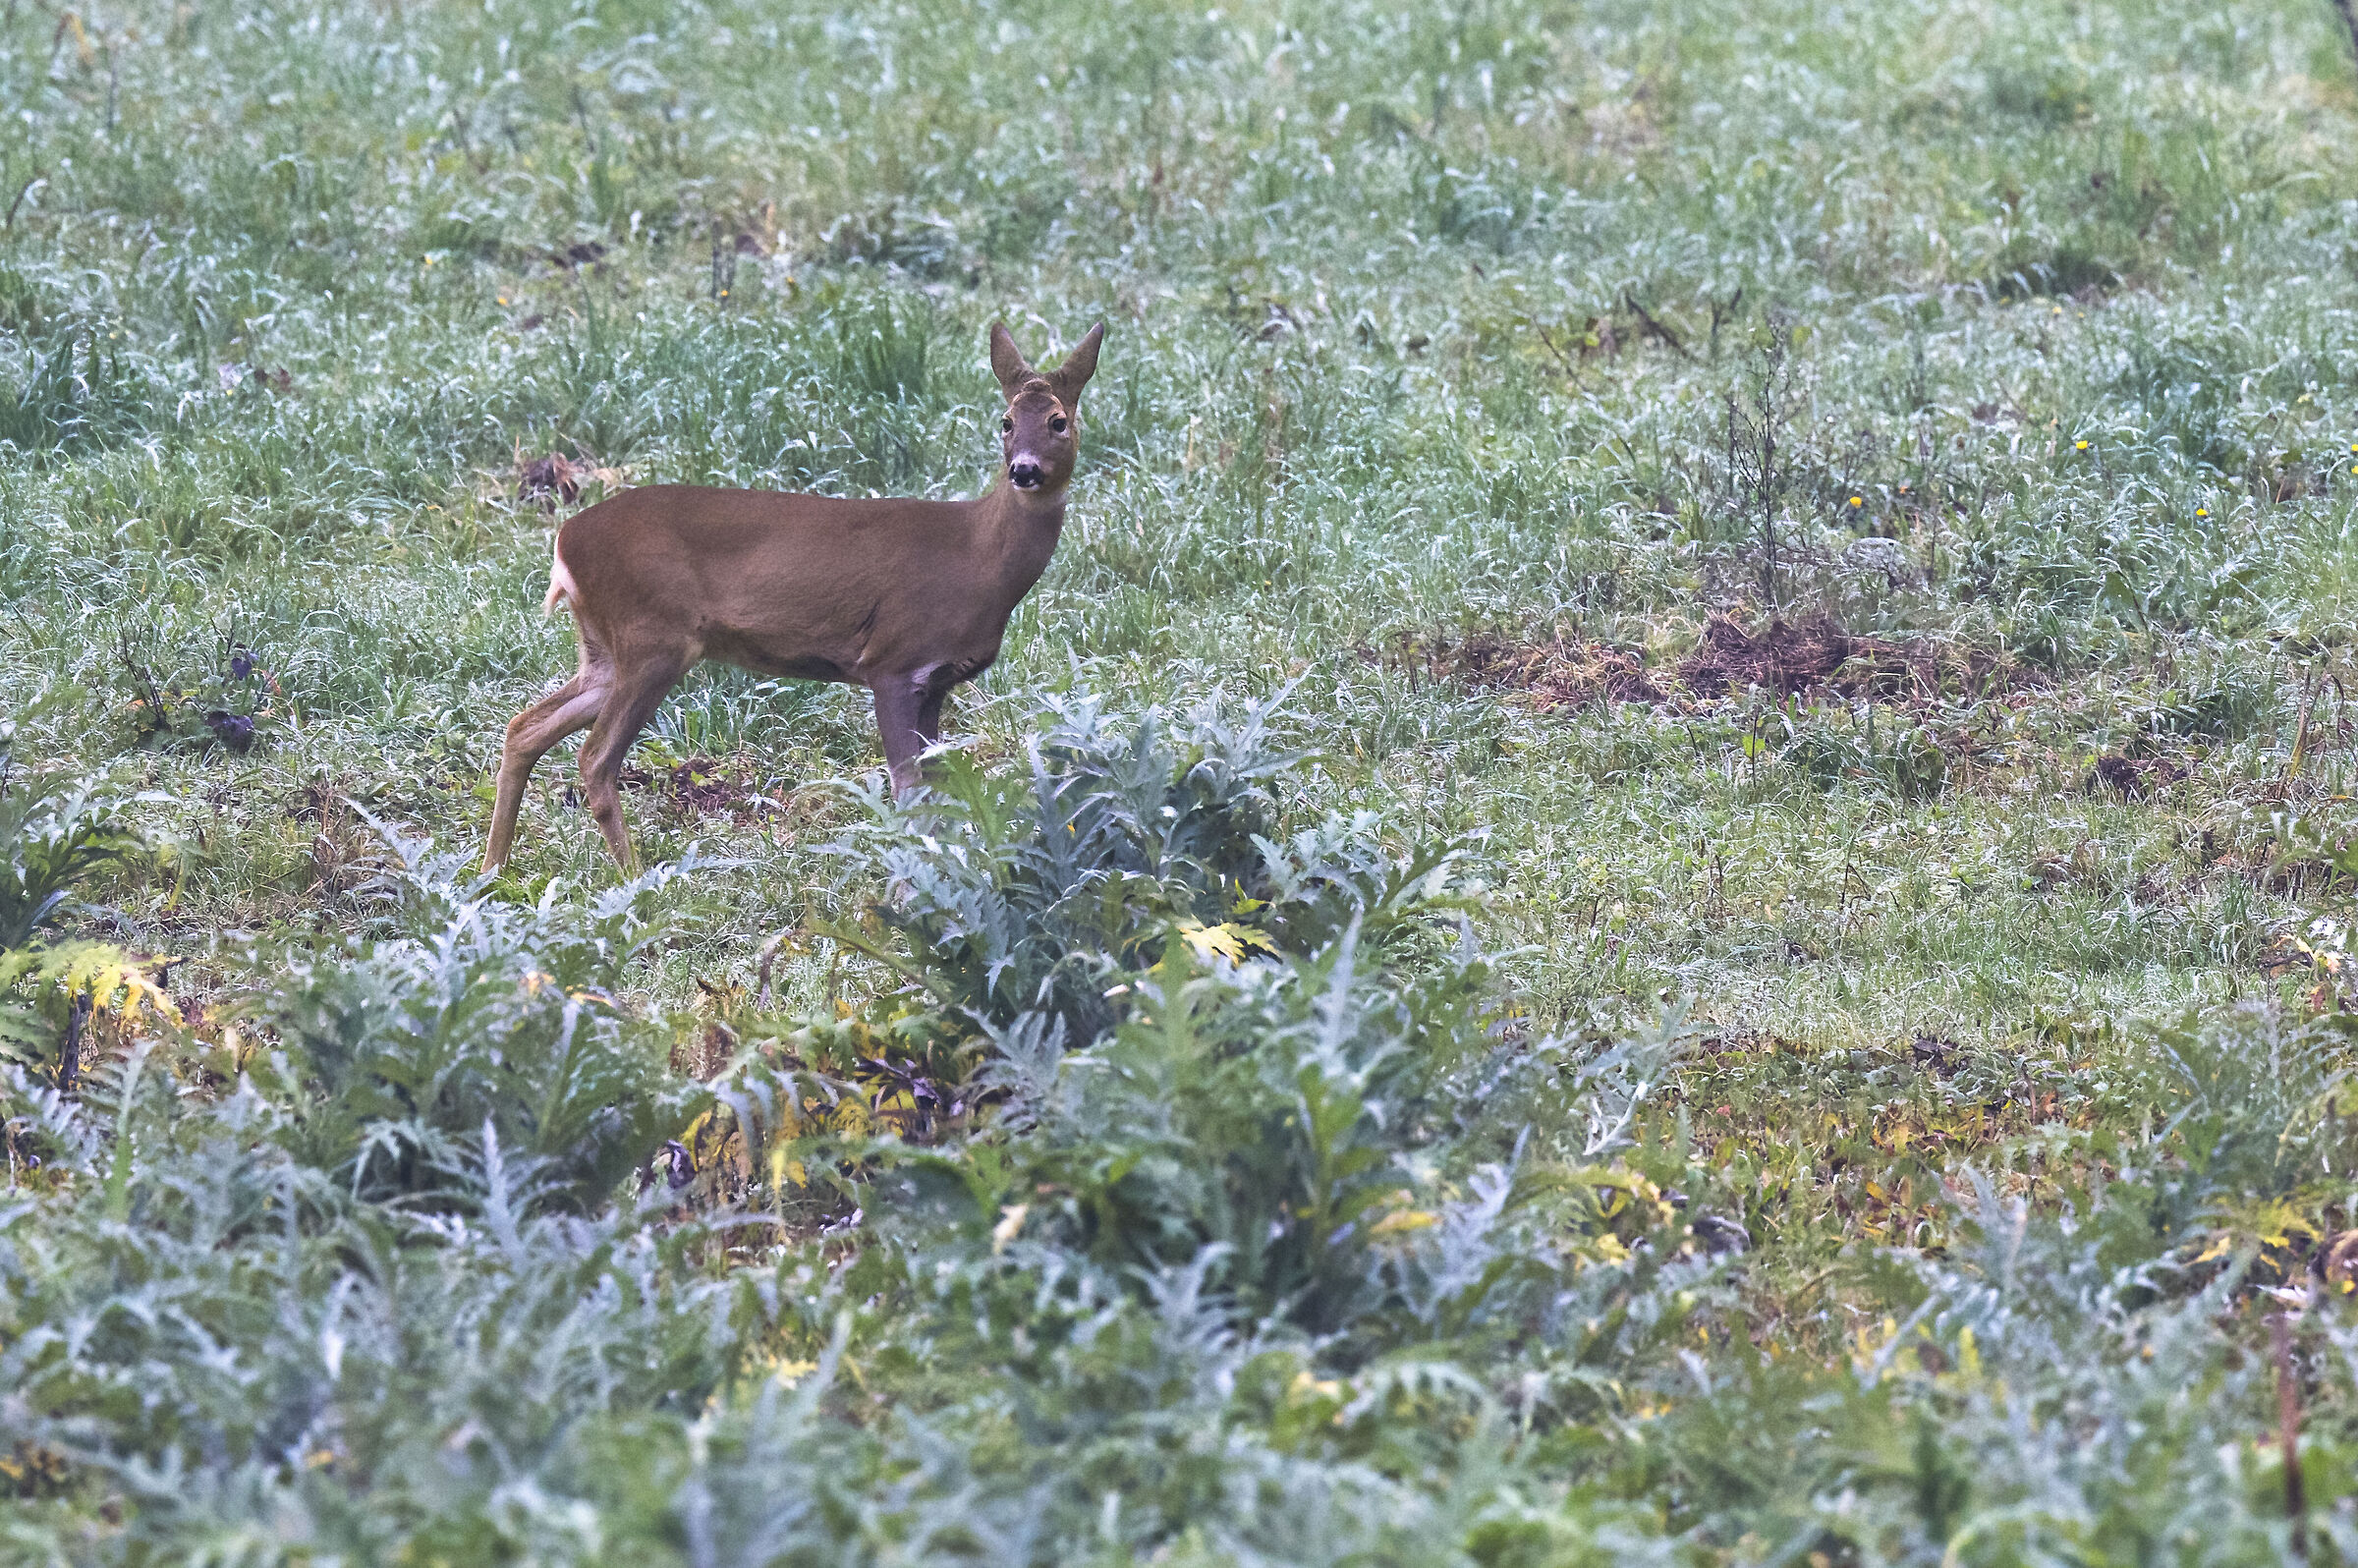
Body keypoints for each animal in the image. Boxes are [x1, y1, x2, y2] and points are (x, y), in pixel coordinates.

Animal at [480, 319, 1105, 873]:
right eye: (1005, 421)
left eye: (1058, 421)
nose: (1024, 470)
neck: (978, 561)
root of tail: (565, 542)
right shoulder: (893, 661)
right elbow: (907, 792)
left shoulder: (937, 681)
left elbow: (938, 790)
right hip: (653, 637)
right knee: (594, 758)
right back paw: (635, 879)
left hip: (606, 649)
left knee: (524, 727)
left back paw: (493, 870)